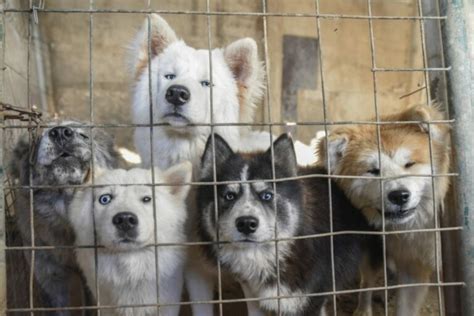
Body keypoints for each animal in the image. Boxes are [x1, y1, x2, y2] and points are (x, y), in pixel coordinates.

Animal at [68, 163, 193, 316]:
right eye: (105, 199)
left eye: (146, 199)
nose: (125, 220)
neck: (131, 272)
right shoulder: (105, 306)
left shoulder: (168, 304)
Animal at [194, 134, 380, 316]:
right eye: (229, 196)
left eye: (267, 195)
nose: (246, 223)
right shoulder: (254, 296)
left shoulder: (309, 302)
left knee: (368, 281)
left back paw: (364, 309)